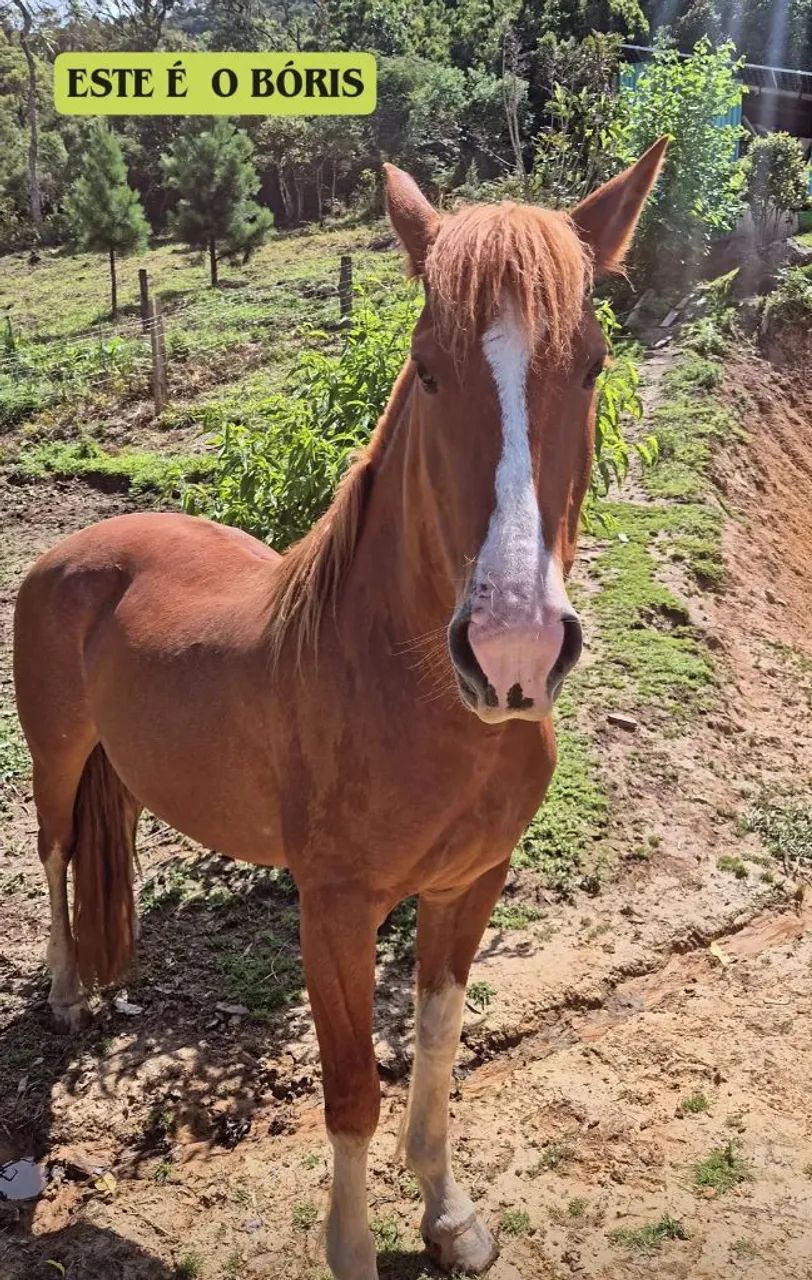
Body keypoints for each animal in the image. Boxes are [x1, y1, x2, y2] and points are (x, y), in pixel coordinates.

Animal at [13, 139, 666, 1280]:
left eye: (590, 363)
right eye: (428, 364)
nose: (513, 649)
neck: (410, 697)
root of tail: (74, 550)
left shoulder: (469, 882)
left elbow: (437, 1045)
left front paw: (447, 1213)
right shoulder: (334, 910)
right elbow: (352, 1088)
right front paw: (356, 1245)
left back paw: (112, 987)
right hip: (54, 755)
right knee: (52, 856)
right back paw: (62, 992)